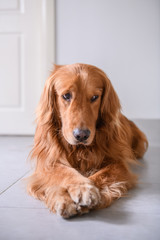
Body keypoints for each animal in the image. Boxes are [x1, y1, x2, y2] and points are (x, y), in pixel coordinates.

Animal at [26, 63, 148, 218]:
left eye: (95, 97)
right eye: (66, 95)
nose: (81, 135)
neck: (79, 150)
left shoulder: (118, 163)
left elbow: (102, 174)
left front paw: (87, 192)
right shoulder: (47, 163)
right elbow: (64, 171)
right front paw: (68, 195)